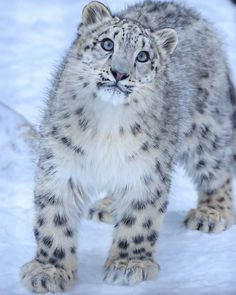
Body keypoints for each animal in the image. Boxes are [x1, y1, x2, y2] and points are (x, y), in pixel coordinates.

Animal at [20, 0, 236, 294]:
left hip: (206, 130)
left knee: (218, 170)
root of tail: (188, 11)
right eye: (107, 44)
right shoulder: (61, 164)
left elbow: (138, 219)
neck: (107, 125)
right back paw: (107, 207)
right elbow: (54, 218)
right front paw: (48, 270)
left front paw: (128, 265)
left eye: (143, 56)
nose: (119, 72)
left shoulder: (145, 170)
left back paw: (211, 213)